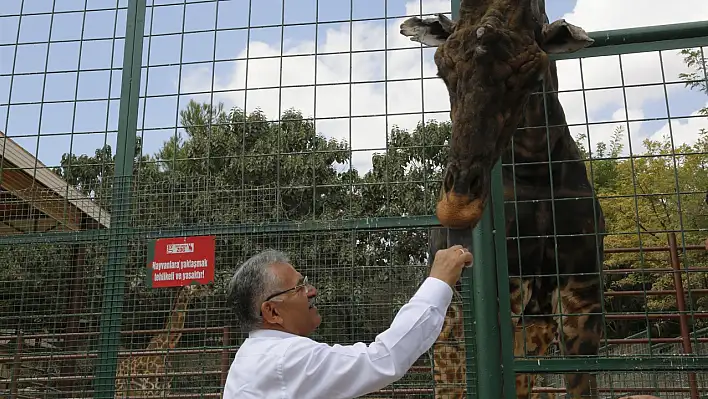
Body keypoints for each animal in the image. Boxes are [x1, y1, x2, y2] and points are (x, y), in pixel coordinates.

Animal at [404, 0, 608, 399]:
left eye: (530, 68)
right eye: (443, 68)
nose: (458, 204)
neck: (536, 167)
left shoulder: (583, 289)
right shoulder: (506, 287)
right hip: (450, 335)